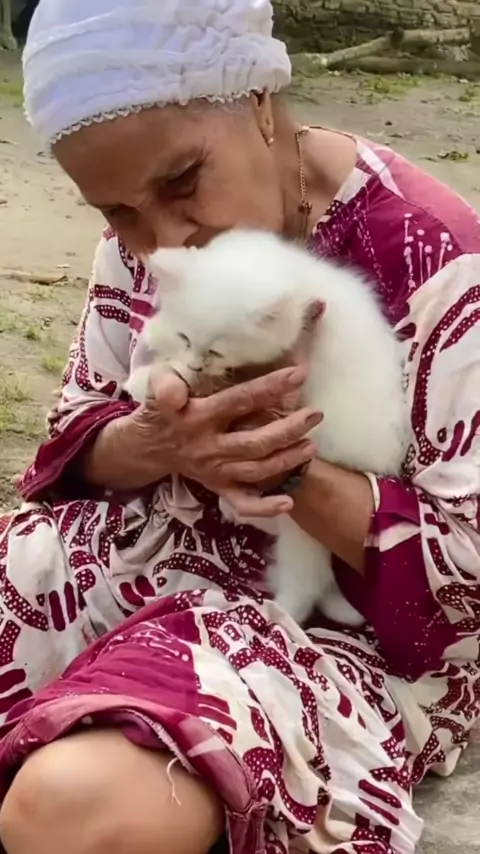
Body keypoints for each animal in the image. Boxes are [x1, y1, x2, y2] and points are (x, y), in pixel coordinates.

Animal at [125, 229, 407, 627]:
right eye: (186, 337)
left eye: (216, 351)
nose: (196, 363)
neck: (302, 285)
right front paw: (154, 371)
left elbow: (201, 384)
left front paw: (153, 379)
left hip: (305, 524)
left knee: (306, 578)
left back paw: (283, 613)